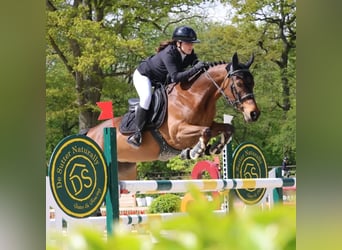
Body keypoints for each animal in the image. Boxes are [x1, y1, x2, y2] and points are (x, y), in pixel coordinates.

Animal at [85, 52, 260, 180]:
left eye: (252, 83)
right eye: (239, 84)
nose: (254, 114)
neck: (193, 97)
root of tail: (90, 133)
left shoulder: (208, 123)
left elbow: (227, 128)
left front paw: (215, 148)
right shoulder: (177, 134)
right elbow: (205, 131)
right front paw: (195, 151)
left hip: (125, 169)